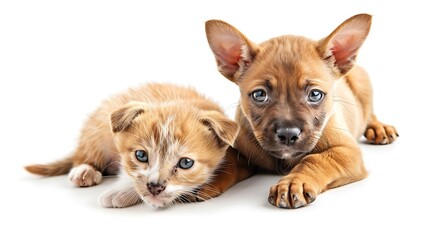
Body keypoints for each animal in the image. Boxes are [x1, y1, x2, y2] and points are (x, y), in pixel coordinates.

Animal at [24, 83, 237, 207]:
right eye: (141, 155)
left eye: (185, 163)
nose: (155, 188)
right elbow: (129, 172)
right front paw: (122, 191)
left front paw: (121, 193)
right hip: (98, 129)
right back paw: (84, 170)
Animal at [204, 13, 398, 208]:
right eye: (259, 95)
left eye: (315, 94)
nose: (288, 134)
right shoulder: (240, 152)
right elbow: (227, 162)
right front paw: (208, 178)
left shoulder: (347, 150)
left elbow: (314, 159)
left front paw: (293, 182)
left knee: (369, 114)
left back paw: (379, 128)